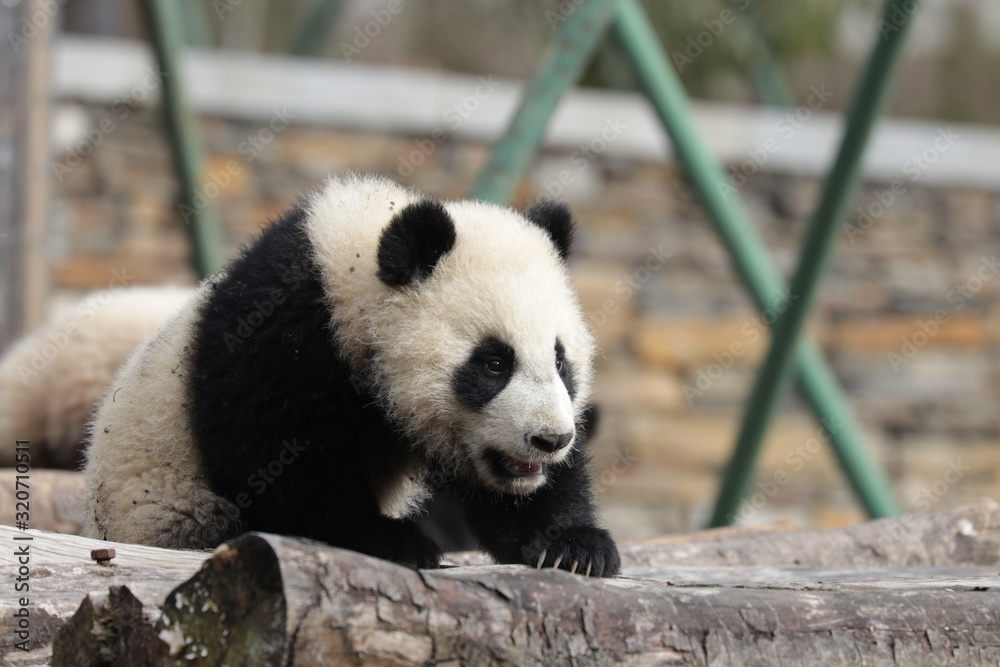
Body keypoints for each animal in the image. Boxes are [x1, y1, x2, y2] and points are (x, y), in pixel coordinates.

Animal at [83, 174, 620, 577]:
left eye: (560, 361)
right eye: (493, 363)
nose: (550, 440)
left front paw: (572, 547)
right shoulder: (279, 338)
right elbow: (279, 465)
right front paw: (391, 539)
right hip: (166, 505)